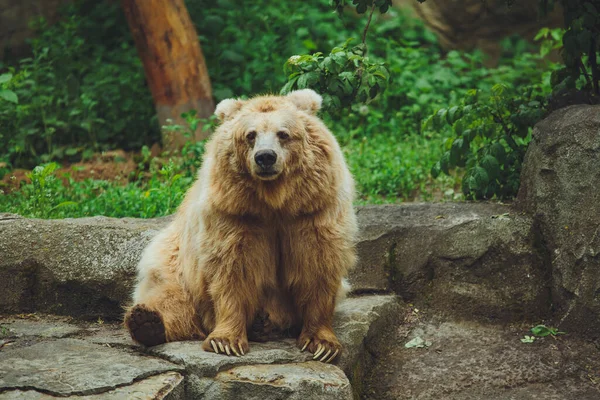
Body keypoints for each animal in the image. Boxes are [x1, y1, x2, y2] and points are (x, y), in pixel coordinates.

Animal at [122, 88, 356, 362]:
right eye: (250, 135)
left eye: (283, 134)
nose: (265, 157)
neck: (274, 202)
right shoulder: (234, 216)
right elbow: (232, 270)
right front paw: (226, 340)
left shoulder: (312, 211)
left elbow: (318, 265)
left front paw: (322, 343)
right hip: (174, 258)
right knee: (172, 294)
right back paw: (147, 321)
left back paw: (263, 324)